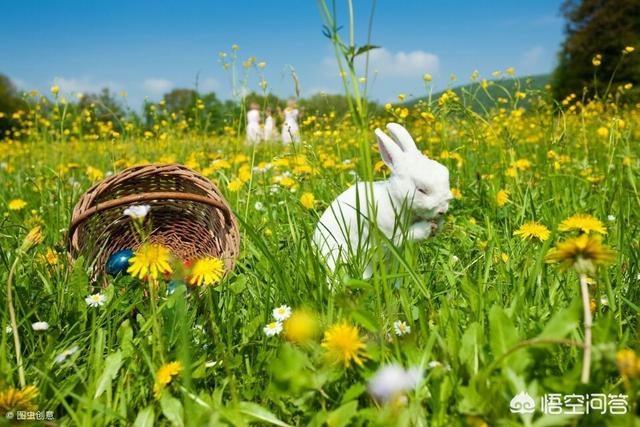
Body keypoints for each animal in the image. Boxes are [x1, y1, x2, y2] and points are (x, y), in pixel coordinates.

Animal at [312, 122, 452, 280]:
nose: (442, 210)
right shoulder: (388, 234)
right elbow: (407, 235)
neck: (396, 200)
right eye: (421, 190)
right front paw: (427, 228)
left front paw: (438, 226)